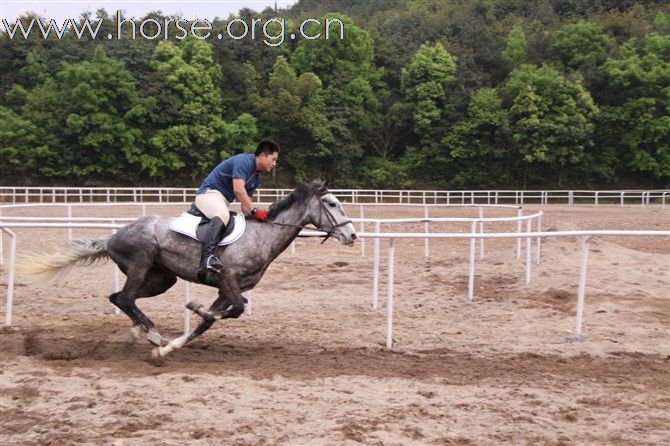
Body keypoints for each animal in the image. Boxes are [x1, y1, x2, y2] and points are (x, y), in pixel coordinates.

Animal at [18, 179, 360, 358]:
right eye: (332, 204)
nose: (353, 235)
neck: (263, 235)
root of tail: (113, 236)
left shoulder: (226, 289)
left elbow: (211, 321)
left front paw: (174, 345)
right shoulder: (228, 279)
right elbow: (233, 309)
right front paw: (191, 310)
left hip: (161, 278)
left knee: (120, 298)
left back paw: (140, 332)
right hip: (141, 261)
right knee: (125, 298)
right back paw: (153, 334)